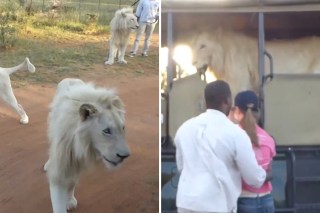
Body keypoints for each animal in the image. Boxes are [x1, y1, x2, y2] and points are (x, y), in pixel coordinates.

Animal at [44, 78, 131, 213]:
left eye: (123, 128)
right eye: (106, 131)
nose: (125, 156)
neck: (81, 145)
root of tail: (70, 78)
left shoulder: (76, 161)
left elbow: (72, 181)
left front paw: (70, 200)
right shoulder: (62, 165)